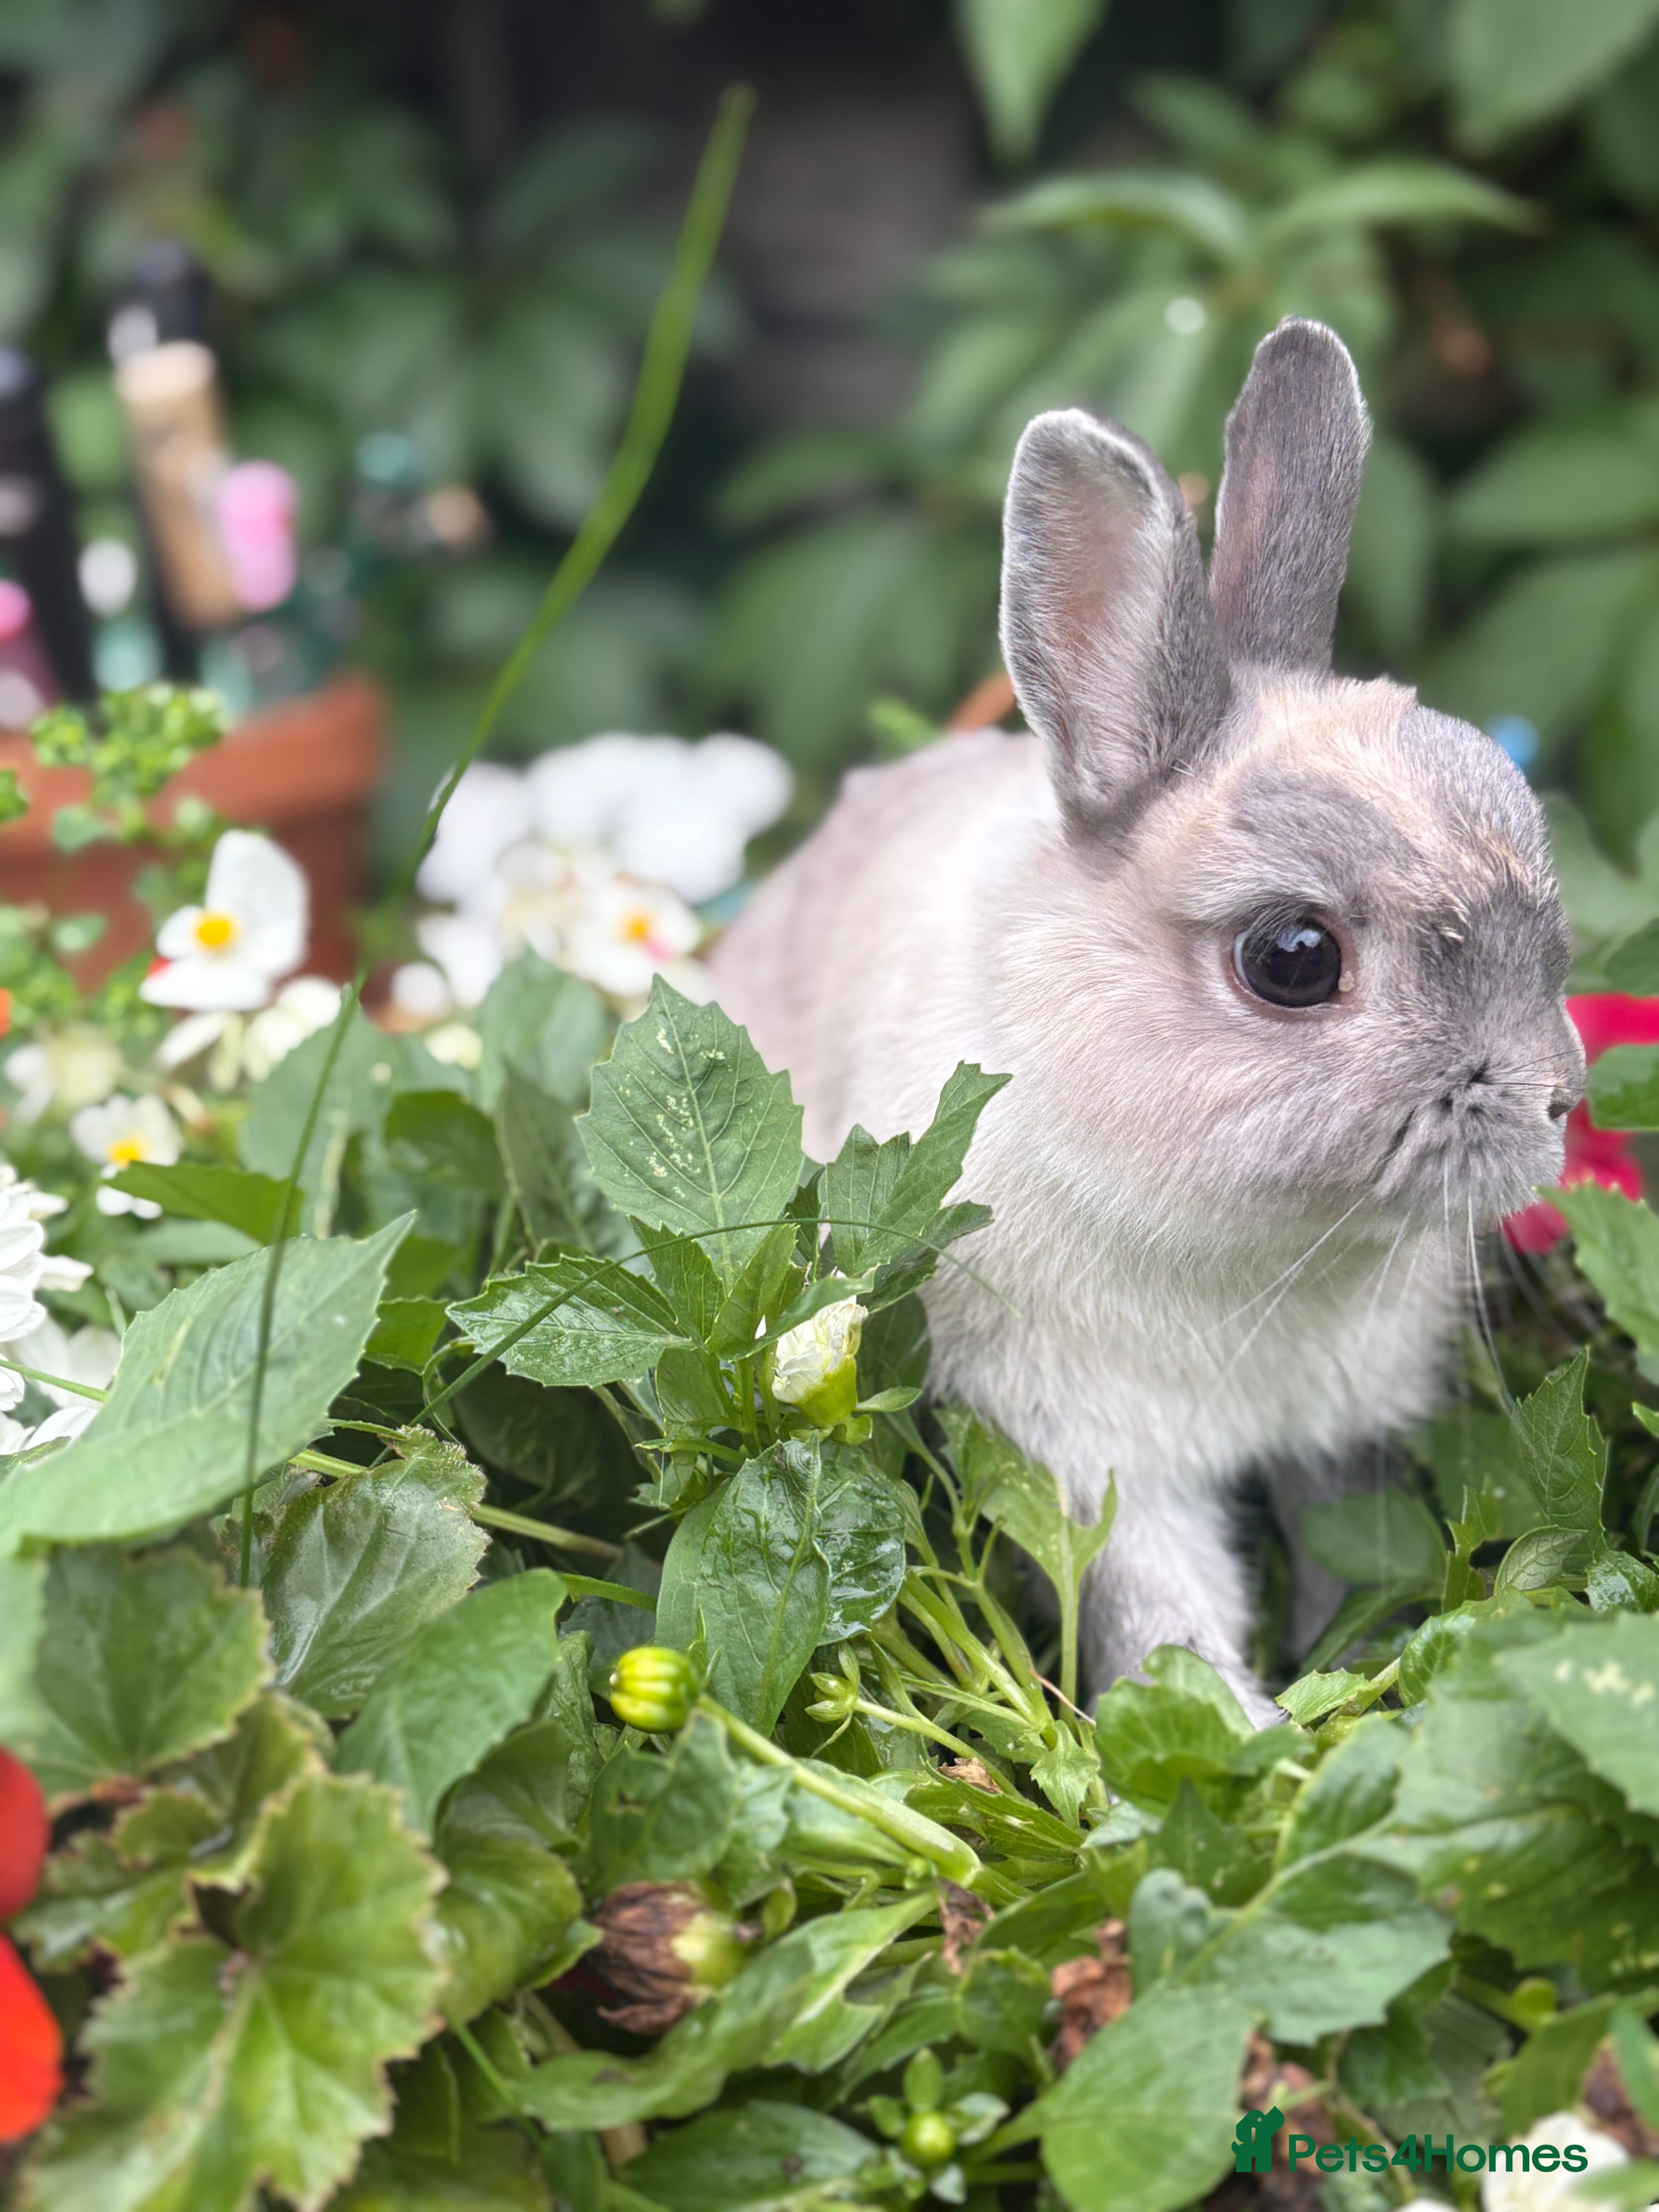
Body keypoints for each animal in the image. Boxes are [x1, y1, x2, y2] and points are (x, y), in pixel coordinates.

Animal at [710, 319, 1584, 1721]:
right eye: (1292, 960)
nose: (1557, 1097)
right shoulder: (1086, 1454)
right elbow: (1156, 1605)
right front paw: (1243, 1719)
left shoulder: (1340, 1436)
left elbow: (1351, 1548)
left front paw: (1343, 1670)